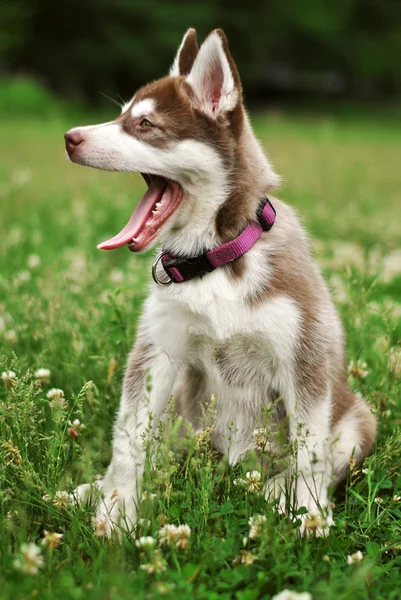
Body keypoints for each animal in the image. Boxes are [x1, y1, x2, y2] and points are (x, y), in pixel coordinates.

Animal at [65, 28, 376, 536]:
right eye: (122, 115)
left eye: (145, 124)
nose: (69, 138)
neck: (215, 259)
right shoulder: (157, 351)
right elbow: (127, 442)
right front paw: (116, 512)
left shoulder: (304, 357)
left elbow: (310, 453)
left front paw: (310, 515)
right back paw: (89, 491)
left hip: (358, 419)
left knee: (320, 458)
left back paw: (276, 491)